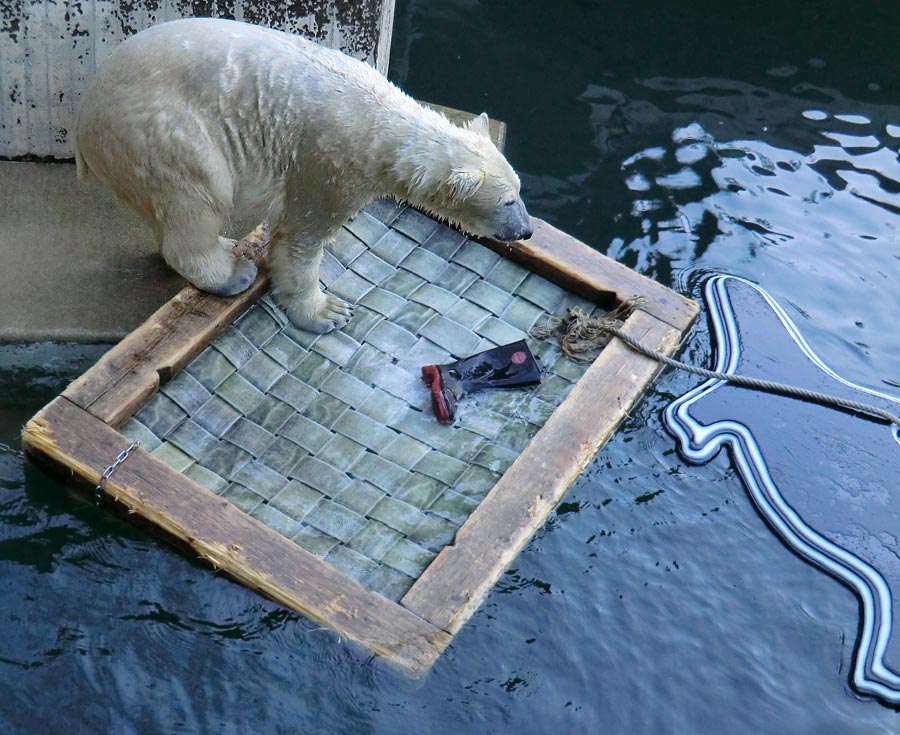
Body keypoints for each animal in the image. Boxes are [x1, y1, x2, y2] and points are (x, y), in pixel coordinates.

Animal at [75, 17, 536, 334]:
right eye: (507, 201)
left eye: (519, 190)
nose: (527, 230)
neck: (382, 127)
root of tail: (83, 117)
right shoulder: (328, 162)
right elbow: (300, 237)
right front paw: (326, 311)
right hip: (164, 132)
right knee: (197, 197)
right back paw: (232, 273)